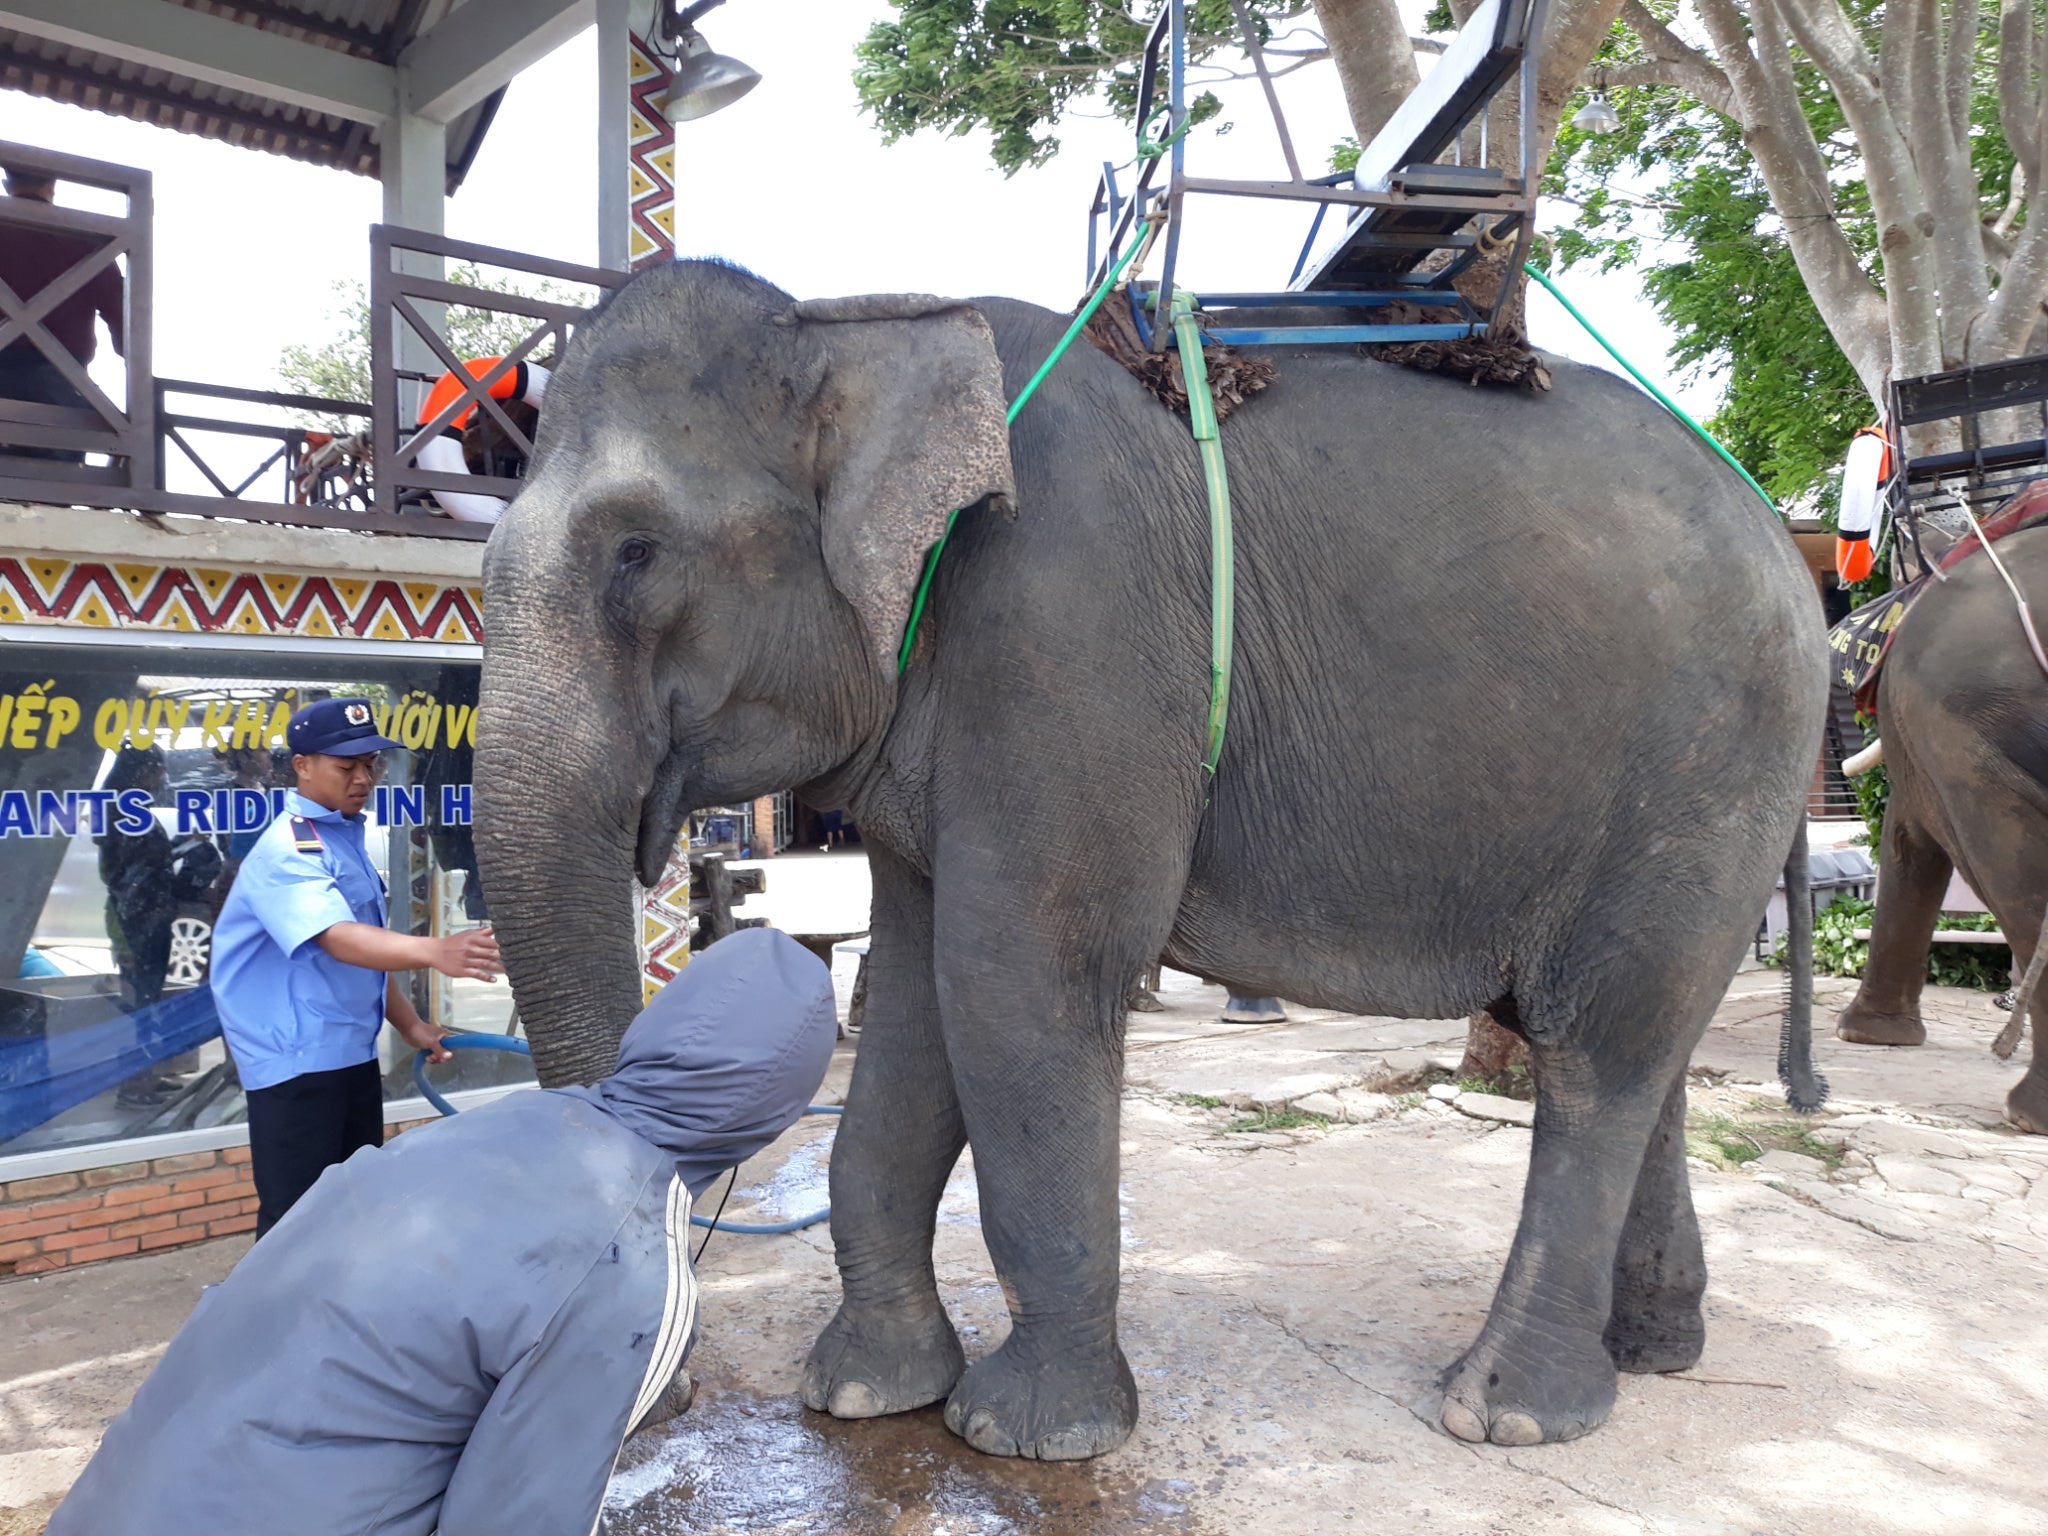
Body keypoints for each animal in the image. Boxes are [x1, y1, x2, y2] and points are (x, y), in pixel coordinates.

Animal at [475, 262, 1826, 1458]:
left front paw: (1028, 1436)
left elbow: (1017, 977)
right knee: (1633, 1045)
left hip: (1708, 762)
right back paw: (1652, 1352)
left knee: (1599, 1049)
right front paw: (865, 1396)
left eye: (637, 553)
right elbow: (915, 993)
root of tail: (1782, 539)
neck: (855, 320)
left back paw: (1508, 1415)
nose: (669, 1395)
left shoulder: (1070, 635)